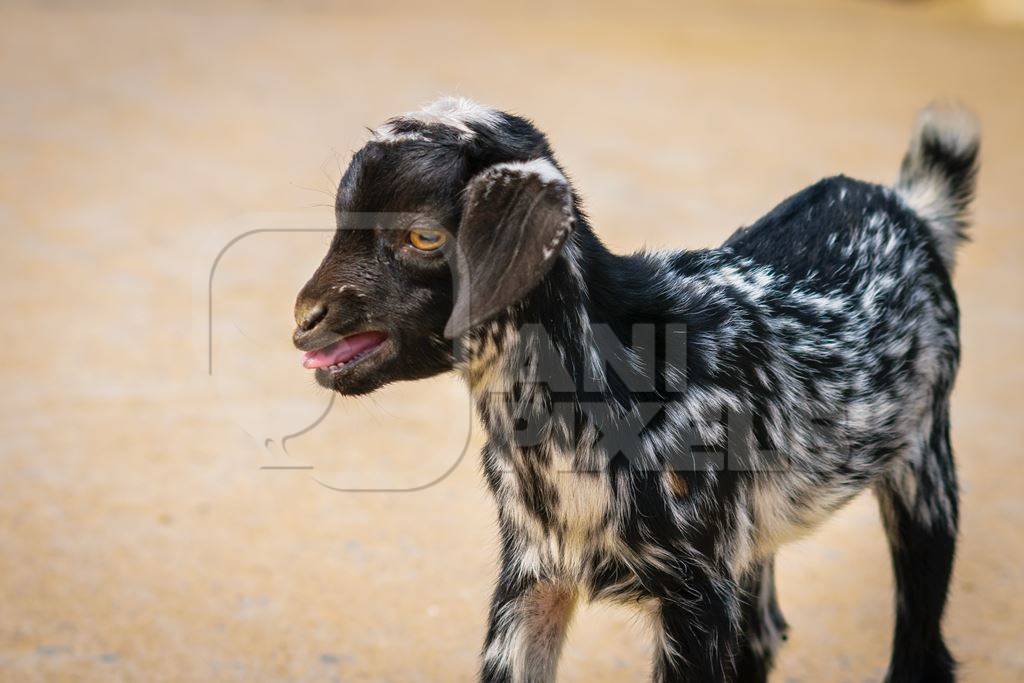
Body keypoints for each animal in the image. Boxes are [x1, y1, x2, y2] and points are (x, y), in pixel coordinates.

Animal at [294, 97, 974, 683]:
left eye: (423, 236)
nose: (305, 318)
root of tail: (908, 206)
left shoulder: (697, 599)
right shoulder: (531, 575)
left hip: (924, 459)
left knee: (922, 645)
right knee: (763, 632)